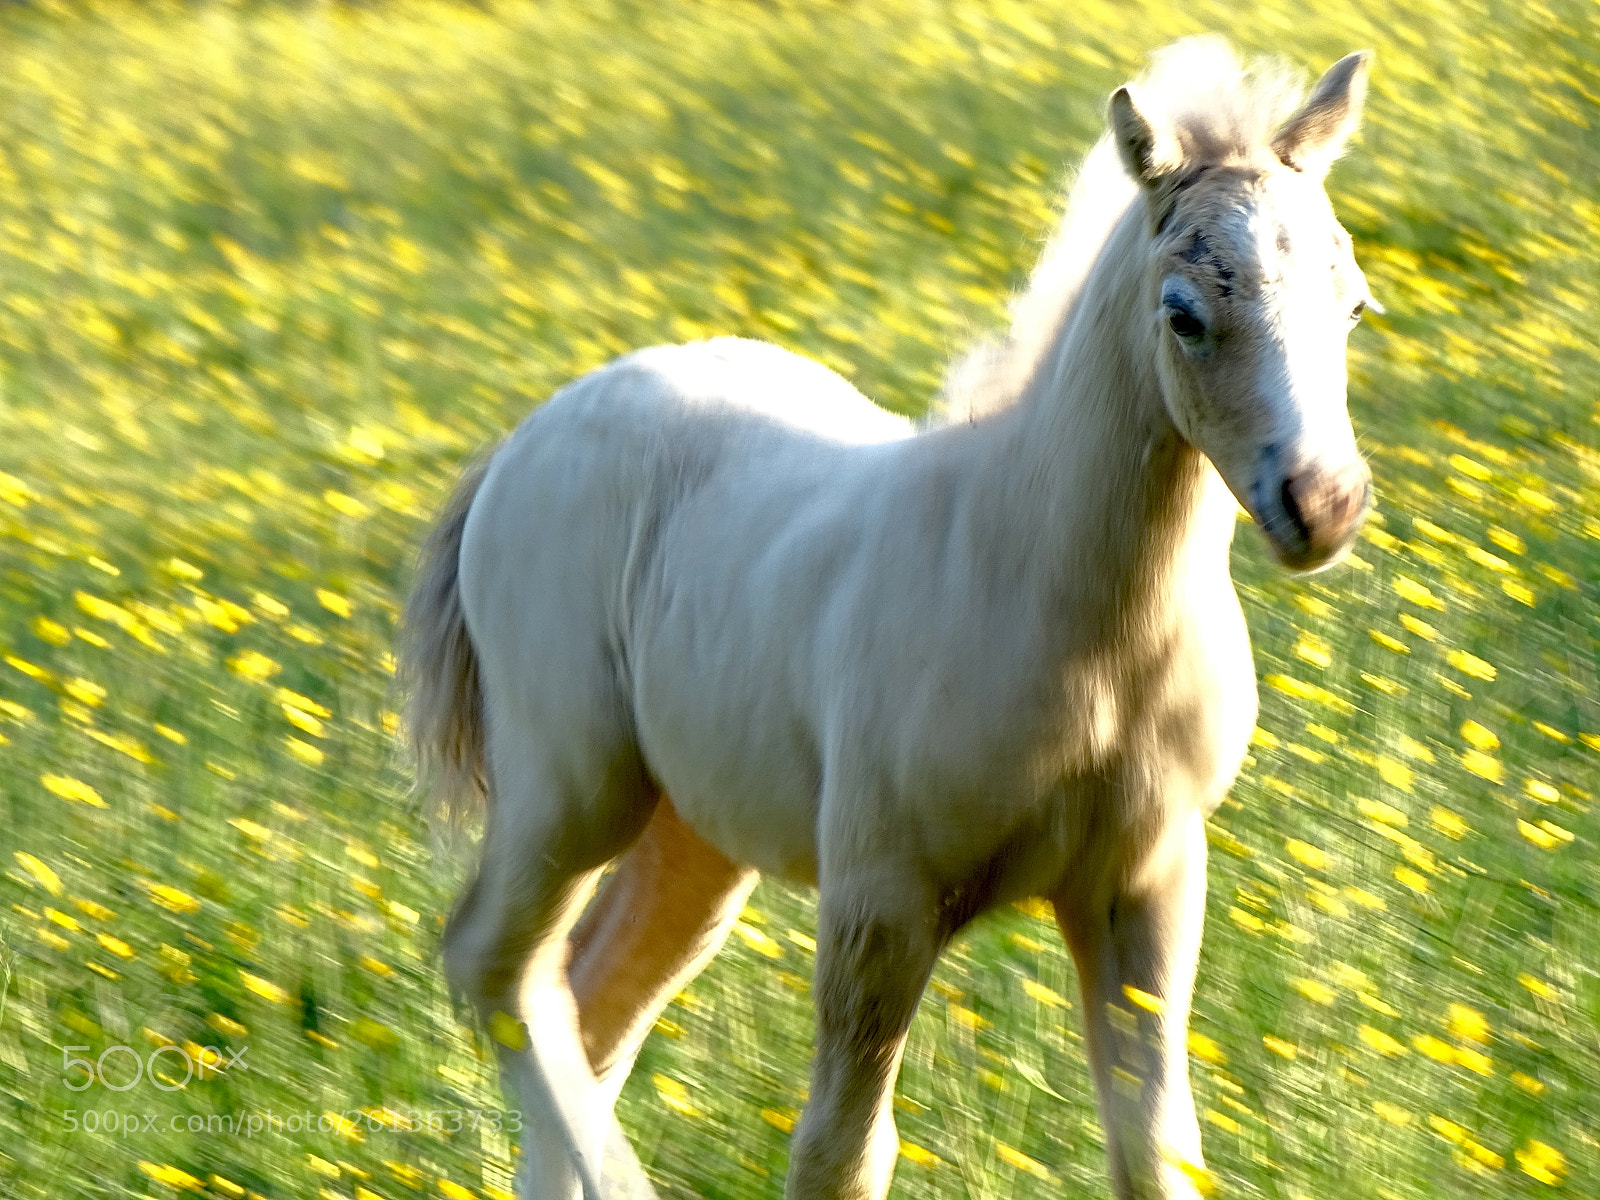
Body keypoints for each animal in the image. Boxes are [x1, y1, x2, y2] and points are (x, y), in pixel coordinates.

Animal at [401, 37, 1377, 1200]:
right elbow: (843, 1150)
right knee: (494, 966)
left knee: (587, 1005)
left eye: (1353, 304)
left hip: (693, 835)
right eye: (1184, 313)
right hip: (573, 784)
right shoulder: (881, 898)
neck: (1076, 622)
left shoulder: (1147, 882)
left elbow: (1156, 1148)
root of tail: (525, 437)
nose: (1323, 503)